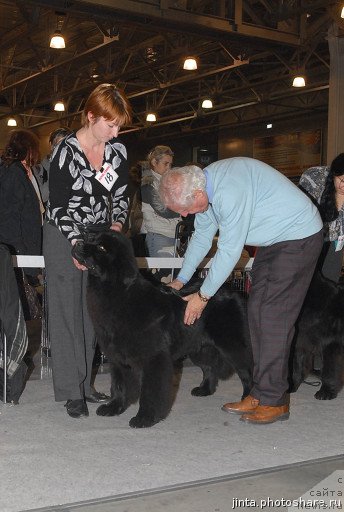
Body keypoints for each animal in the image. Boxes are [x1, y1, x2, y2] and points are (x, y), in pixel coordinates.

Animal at [71, 232, 253, 428]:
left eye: (102, 248)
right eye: (90, 238)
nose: (78, 243)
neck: (118, 294)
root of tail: (232, 291)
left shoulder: (153, 357)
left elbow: (150, 390)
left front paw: (145, 417)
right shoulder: (117, 356)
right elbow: (119, 385)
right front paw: (114, 407)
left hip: (232, 345)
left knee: (248, 371)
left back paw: (248, 401)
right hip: (199, 347)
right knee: (209, 367)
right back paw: (204, 390)